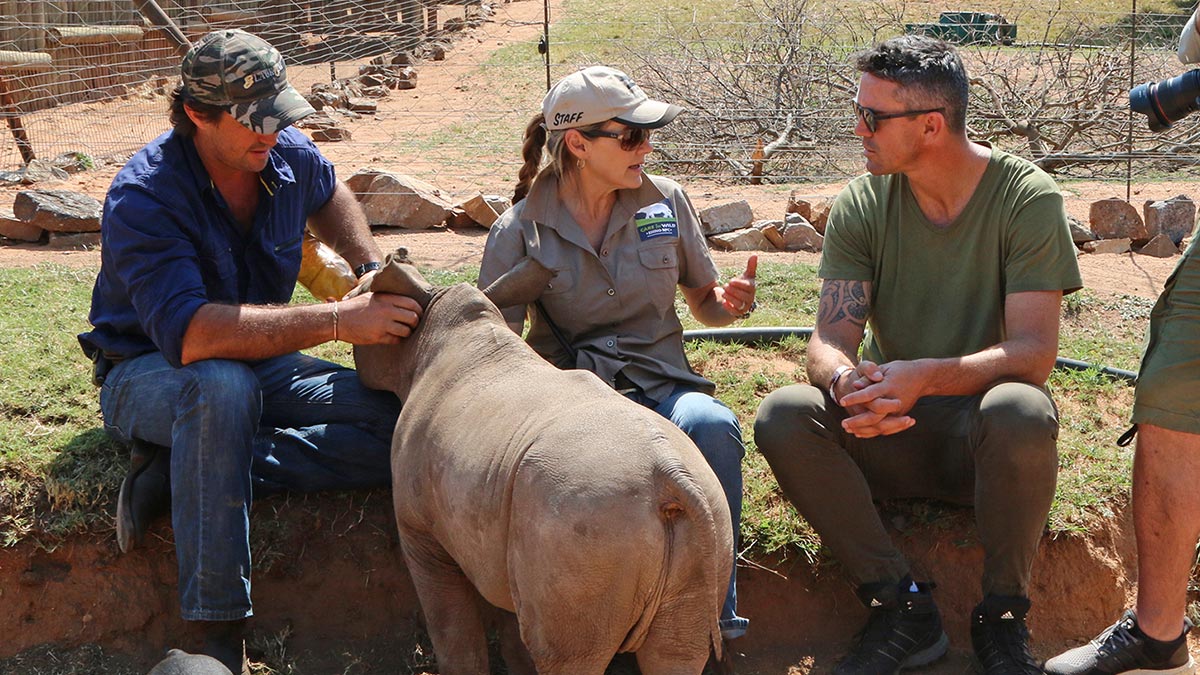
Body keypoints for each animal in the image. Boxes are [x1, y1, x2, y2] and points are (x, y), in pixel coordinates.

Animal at [350, 249, 734, 667]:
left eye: (357, 295)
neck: (428, 329)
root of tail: (668, 473)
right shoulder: (495, 524)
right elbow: (509, 624)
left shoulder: (421, 532)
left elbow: (452, 628)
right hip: (710, 511)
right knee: (676, 651)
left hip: (585, 520)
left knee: (569, 656)